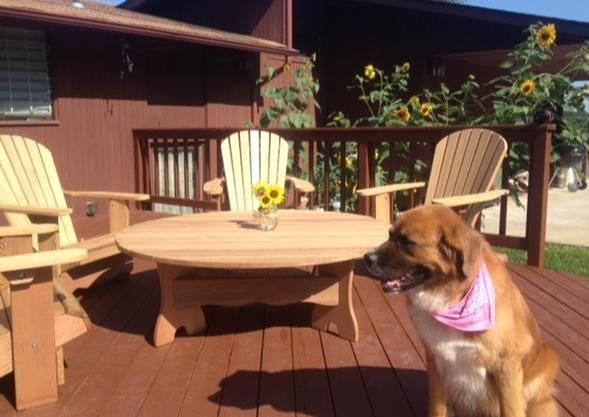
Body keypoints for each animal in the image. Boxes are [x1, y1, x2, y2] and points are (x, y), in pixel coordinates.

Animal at [362, 206, 560, 416]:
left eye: (407, 242)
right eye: (389, 235)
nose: (367, 258)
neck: (455, 299)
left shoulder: (507, 363)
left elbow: (511, 410)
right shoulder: (437, 362)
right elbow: (436, 408)